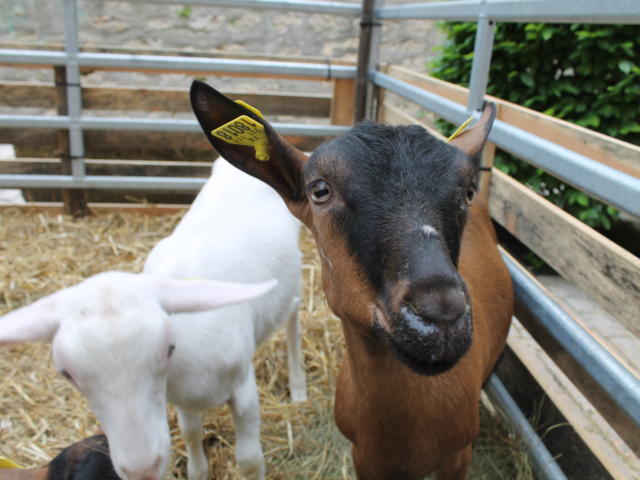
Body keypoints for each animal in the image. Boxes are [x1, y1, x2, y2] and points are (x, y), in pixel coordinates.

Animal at [0, 159, 308, 480]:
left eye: (169, 349)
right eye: (66, 373)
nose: (142, 469)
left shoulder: (243, 387)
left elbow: (249, 460)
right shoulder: (180, 399)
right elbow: (191, 434)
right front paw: (196, 470)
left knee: (293, 318)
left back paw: (298, 386)